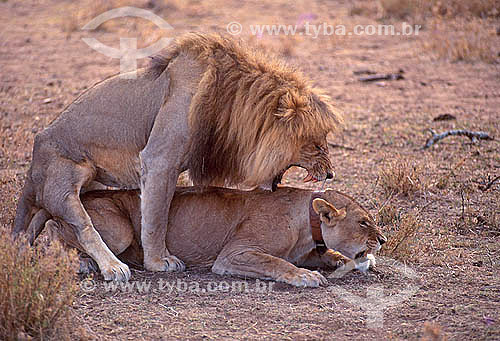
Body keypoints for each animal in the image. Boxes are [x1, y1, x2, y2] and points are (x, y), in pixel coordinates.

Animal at [14, 32, 344, 278]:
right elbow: (156, 216)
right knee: (80, 226)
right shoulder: (159, 159)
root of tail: (34, 158)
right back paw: (111, 267)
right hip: (62, 185)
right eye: (316, 144)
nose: (330, 174)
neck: (229, 101)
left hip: (92, 183)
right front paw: (159, 261)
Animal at [27, 187, 386, 286]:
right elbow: (275, 262)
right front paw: (304, 276)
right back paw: (86, 264)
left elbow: (327, 254)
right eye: (364, 222)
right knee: (58, 228)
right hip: (119, 230)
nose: (382, 241)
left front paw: (345, 260)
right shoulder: (234, 254)